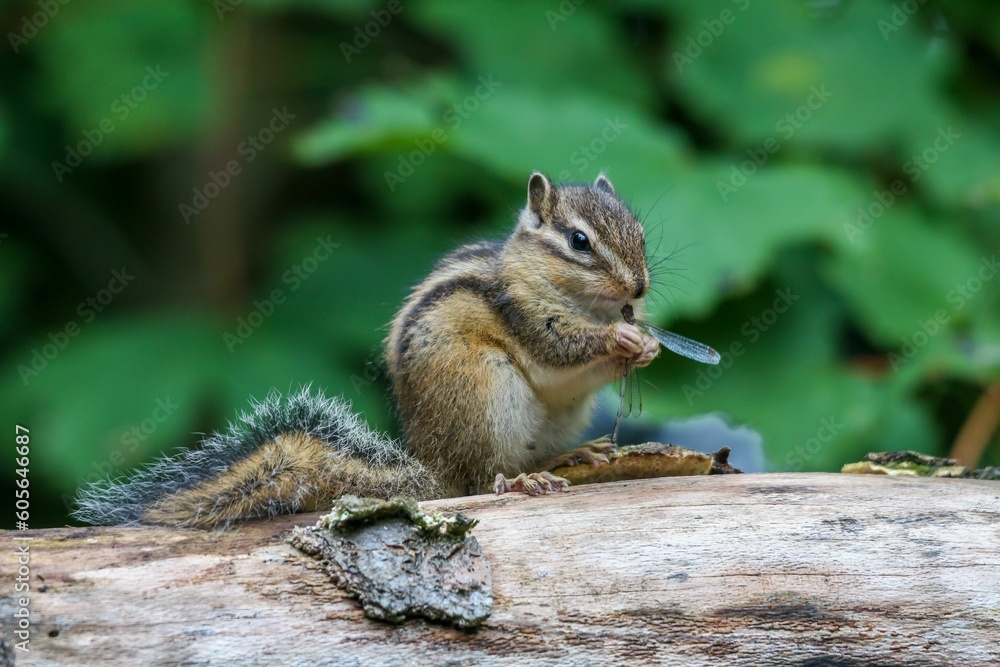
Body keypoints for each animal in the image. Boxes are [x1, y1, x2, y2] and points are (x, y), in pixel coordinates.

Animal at [73, 172, 660, 529]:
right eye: (579, 241)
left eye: (641, 234)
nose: (638, 289)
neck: (584, 303)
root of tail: (429, 467)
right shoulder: (523, 311)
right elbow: (559, 345)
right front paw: (621, 340)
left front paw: (644, 345)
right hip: (486, 393)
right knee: (479, 477)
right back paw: (521, 478)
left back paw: (569, 456)